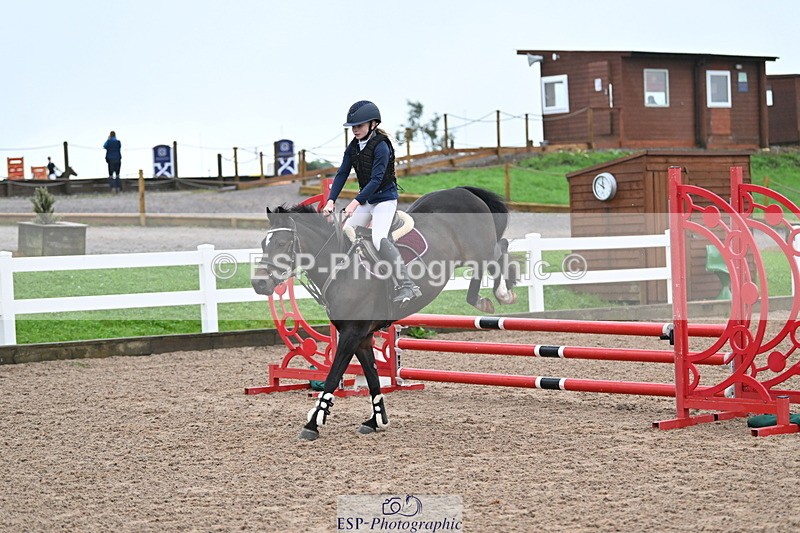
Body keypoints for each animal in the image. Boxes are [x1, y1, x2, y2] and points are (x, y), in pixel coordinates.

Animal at [251, 186, 518, 440]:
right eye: (264, 244)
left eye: (282, 244)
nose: (259, 284)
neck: (341, 269)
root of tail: (463, 191)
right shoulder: (362, 337)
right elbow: (372, 378)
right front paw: (375, 420)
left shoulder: (351, 334)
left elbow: (333, 375)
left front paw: (313, 424)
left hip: (479, 251)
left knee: (499, 252)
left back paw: (502, 293)